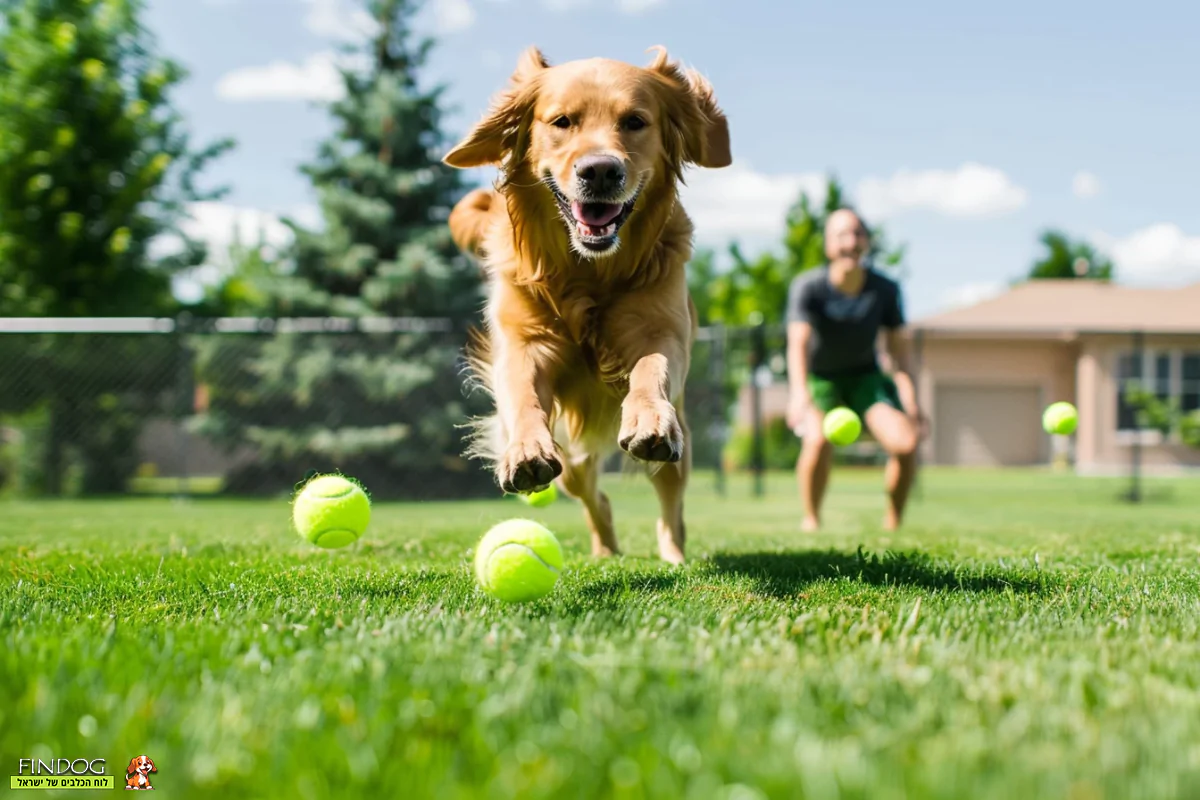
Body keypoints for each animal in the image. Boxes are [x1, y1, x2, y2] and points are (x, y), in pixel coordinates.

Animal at [444, 47, 729, 566]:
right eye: (562, 121)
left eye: (635, 121)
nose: (600, 170)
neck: (588, 272)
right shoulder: (524, 343)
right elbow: (522, 393)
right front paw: (525, 450)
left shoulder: (662, 332)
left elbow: (651, 367)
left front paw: (647, 418)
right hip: (574, 458)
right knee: (591, 491)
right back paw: (604, 546)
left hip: (681, 451)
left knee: (670, 507)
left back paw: (673, 555)